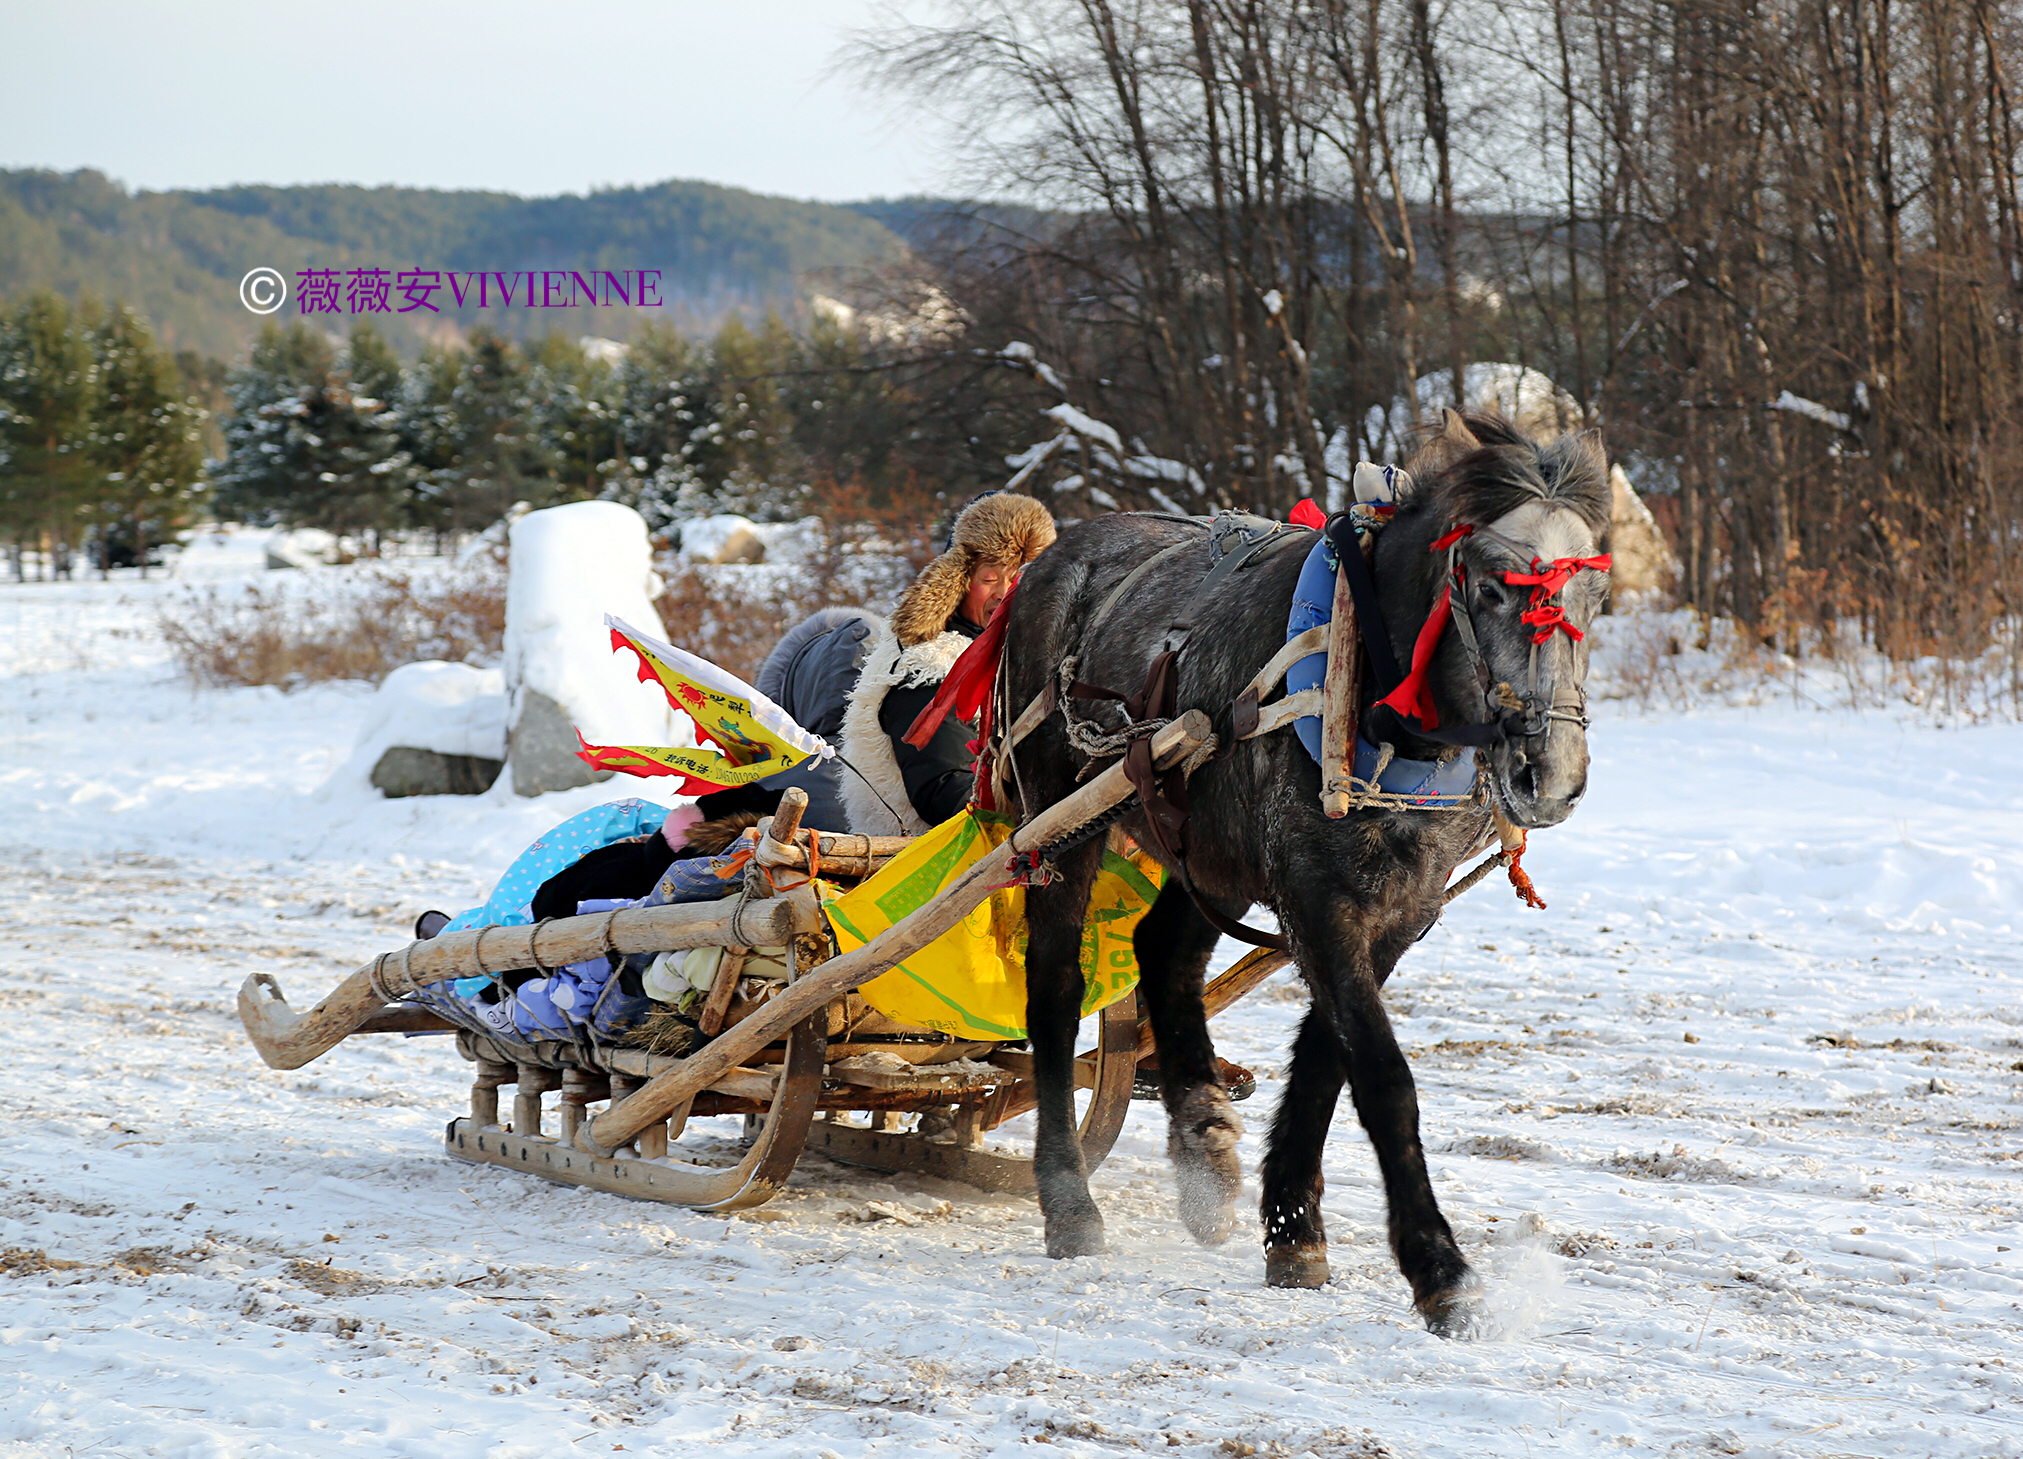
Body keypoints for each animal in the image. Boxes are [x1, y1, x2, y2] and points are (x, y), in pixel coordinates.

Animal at [995, 408, 1610, 1335]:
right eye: (1492, 588)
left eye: (1591, 596)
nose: (1551, 772)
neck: (1377, 704)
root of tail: (1054, 556)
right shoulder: (1315, 895)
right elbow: (1383, 1076)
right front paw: (1439, 1266)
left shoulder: (1398, 908)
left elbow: (1327, 1056)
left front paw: (1291, 1224)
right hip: (1062, 817)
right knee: (1057, 990)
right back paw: (1068, 1198)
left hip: (1206, 847)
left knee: (1163, 951)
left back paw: (1203, 1144)